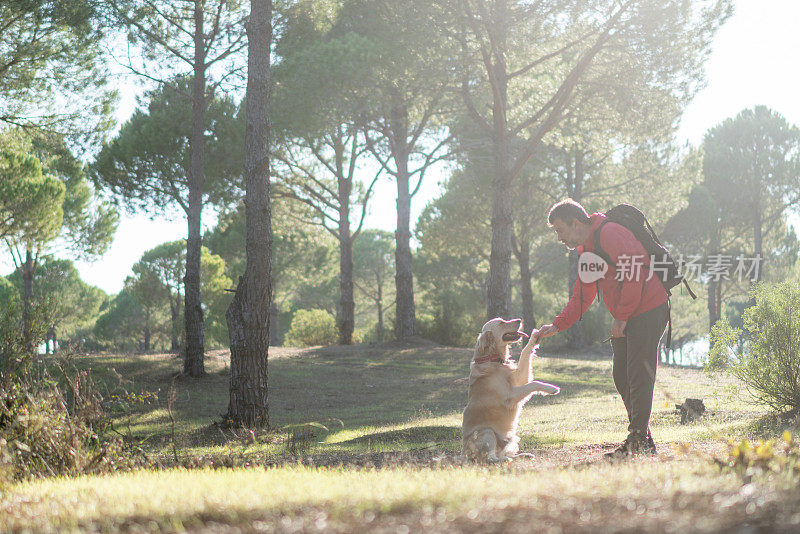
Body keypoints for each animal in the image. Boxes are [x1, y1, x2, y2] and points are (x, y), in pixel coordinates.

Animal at [460, 318, 560, 464]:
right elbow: (533, 384)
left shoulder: (519, 378)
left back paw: (522, 455)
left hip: (511, 439)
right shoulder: (510, 396)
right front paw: (551, 388)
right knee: (489, 458)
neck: (493, 360)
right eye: (502, 322)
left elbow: (525, 352)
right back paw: (504, 460)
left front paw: (535, 336)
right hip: (487, 432)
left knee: (501, 454)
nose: (519, 320)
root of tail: (462, 454)